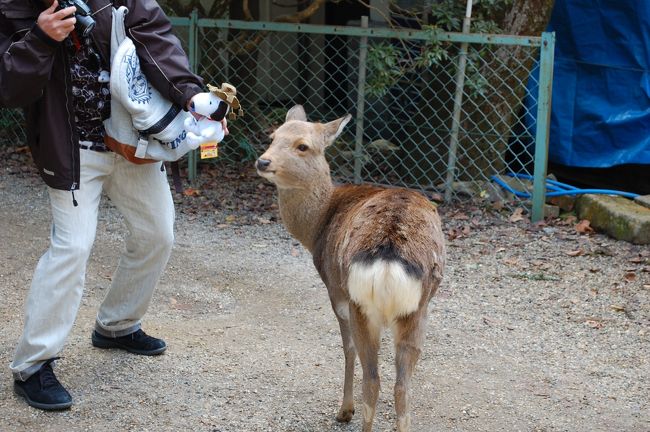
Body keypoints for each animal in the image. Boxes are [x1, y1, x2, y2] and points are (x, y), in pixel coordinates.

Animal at [255, 105, 446, 432]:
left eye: (303, 146)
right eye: (273, 137)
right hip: (418, 310)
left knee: (373, 379)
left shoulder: (336, 292)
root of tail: (389, 254)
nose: (263, 161)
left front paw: (345, 410)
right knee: (402, 386)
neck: (317, 228)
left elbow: (347, 349)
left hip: (361, 305)